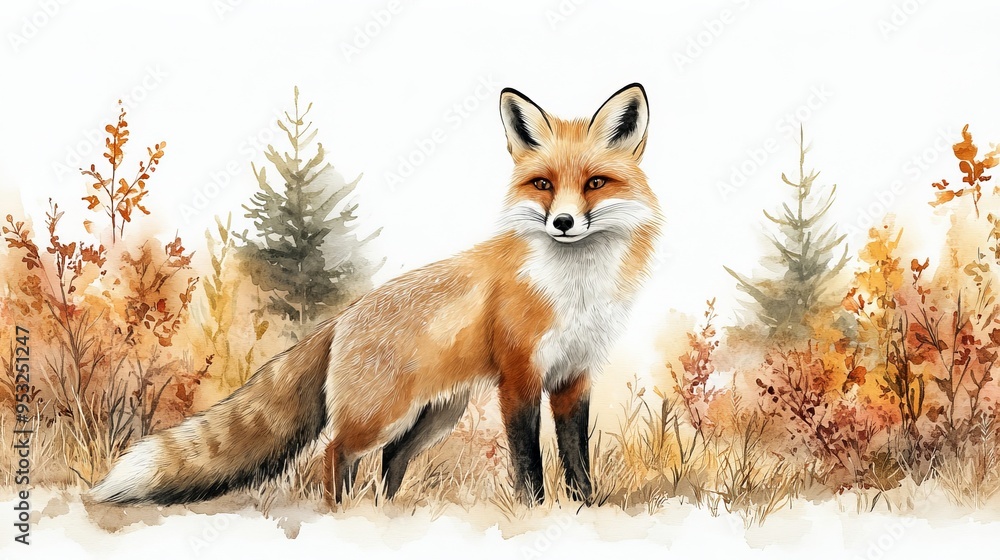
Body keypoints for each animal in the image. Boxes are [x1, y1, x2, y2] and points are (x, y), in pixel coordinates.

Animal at [91, 83, 662, 507]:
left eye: (595, 183)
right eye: (543, 184)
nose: (562, 223)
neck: (575, 288)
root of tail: (342, 317)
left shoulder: (572, 377)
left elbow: (576, 459)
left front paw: (585, 510)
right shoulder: (520, 377)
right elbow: (529, 463)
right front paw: (534, 514)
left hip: (436, 414)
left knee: (391, 460)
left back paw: (387, 514)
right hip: (381, 416)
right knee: (336, 454)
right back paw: (340, 515)